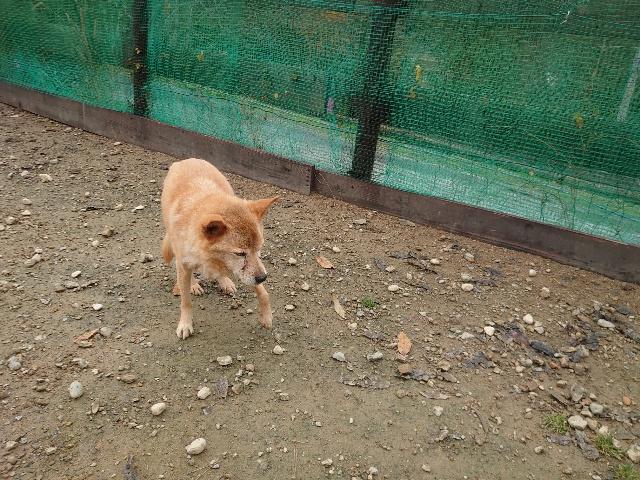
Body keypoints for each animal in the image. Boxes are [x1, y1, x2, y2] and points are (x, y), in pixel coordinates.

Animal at [161, 158, 278, 339]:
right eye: (240, 253)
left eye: (259, 249)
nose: (263, 277)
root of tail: (186, 160)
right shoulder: (184, 263)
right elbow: (185, 302)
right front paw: (185, 324)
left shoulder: (247, 271)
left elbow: (263, 293)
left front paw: (266, 317)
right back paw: (194, 284)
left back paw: (225, 281)